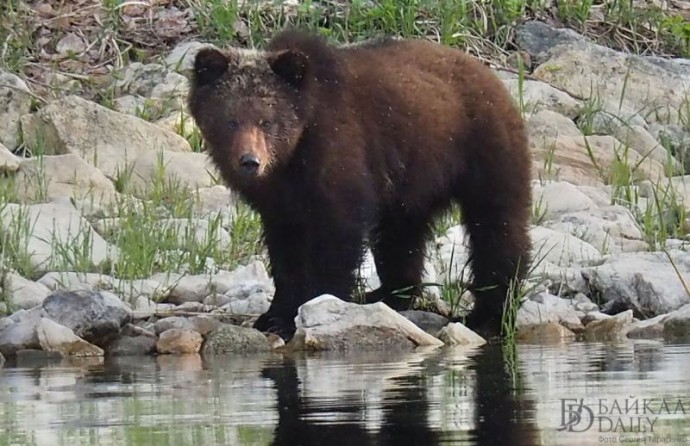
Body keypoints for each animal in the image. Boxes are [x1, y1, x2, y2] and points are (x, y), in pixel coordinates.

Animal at [185, 29, 528, 340]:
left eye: (266, 121)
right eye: (230, 120)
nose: (250, 161)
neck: (292, 160)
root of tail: (491, 74)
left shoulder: (339, 154)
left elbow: (337, 236)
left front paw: (320, 303)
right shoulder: (279, 201)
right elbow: (285, 251)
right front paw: (274, 315)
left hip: (479, 146)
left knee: (495, 226)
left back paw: (488, 313)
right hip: (411, 179)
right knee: (400, 236)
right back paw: (388, 293)